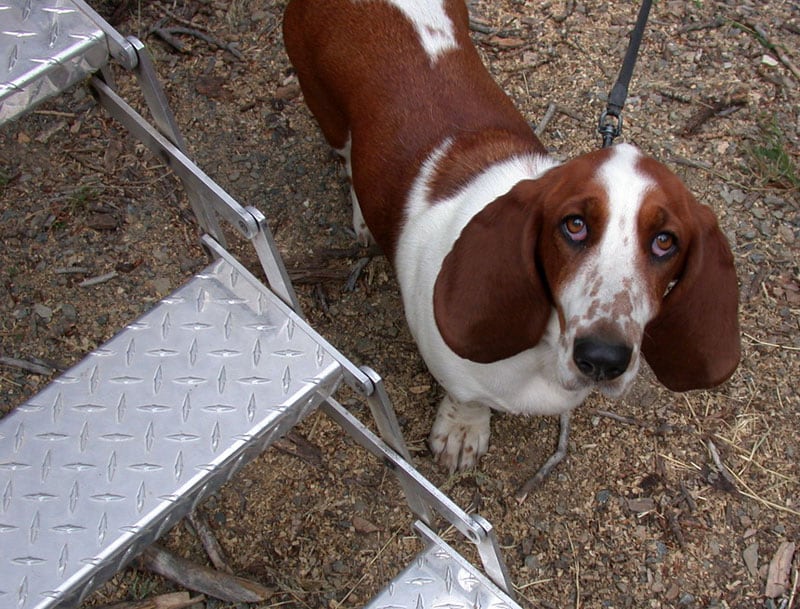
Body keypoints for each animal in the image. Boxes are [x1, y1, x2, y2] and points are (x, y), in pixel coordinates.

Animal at [282, 0, 736, 494]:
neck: (545, 349)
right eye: (574, 225)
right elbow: (466, 399)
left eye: (665, 241)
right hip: (323, 106)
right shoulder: (455, 371)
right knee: (346, 156)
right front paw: (462, 432)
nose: (603, 358)